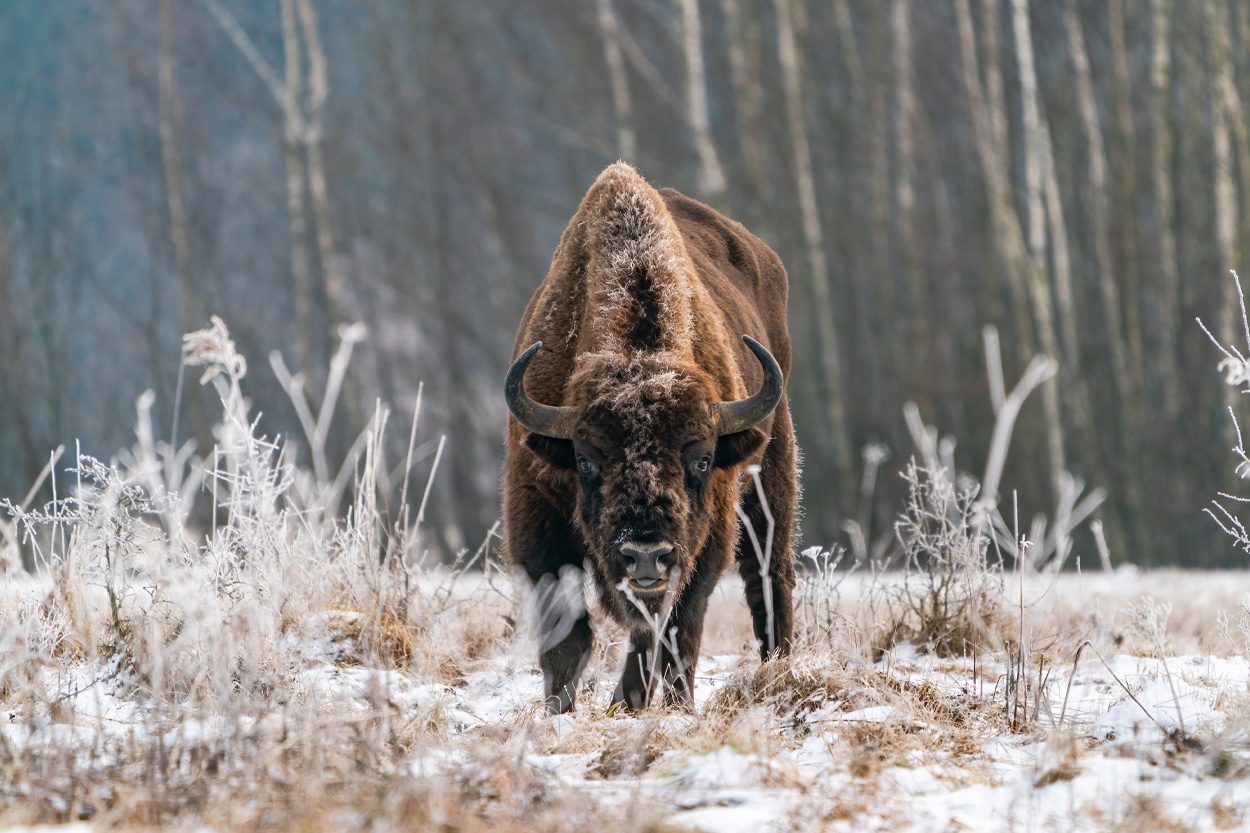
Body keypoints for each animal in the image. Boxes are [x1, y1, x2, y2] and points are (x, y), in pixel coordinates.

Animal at [503, 163, 799, 713]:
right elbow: (570, 634)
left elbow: (677, 625)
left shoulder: (707, 536)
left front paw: (655, 705)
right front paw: (562, 708)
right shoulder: (536, 518)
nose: (643, 554)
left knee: (768, 577)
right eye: (586, 460)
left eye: (702, 460)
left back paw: (779, 669)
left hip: (772, 474)